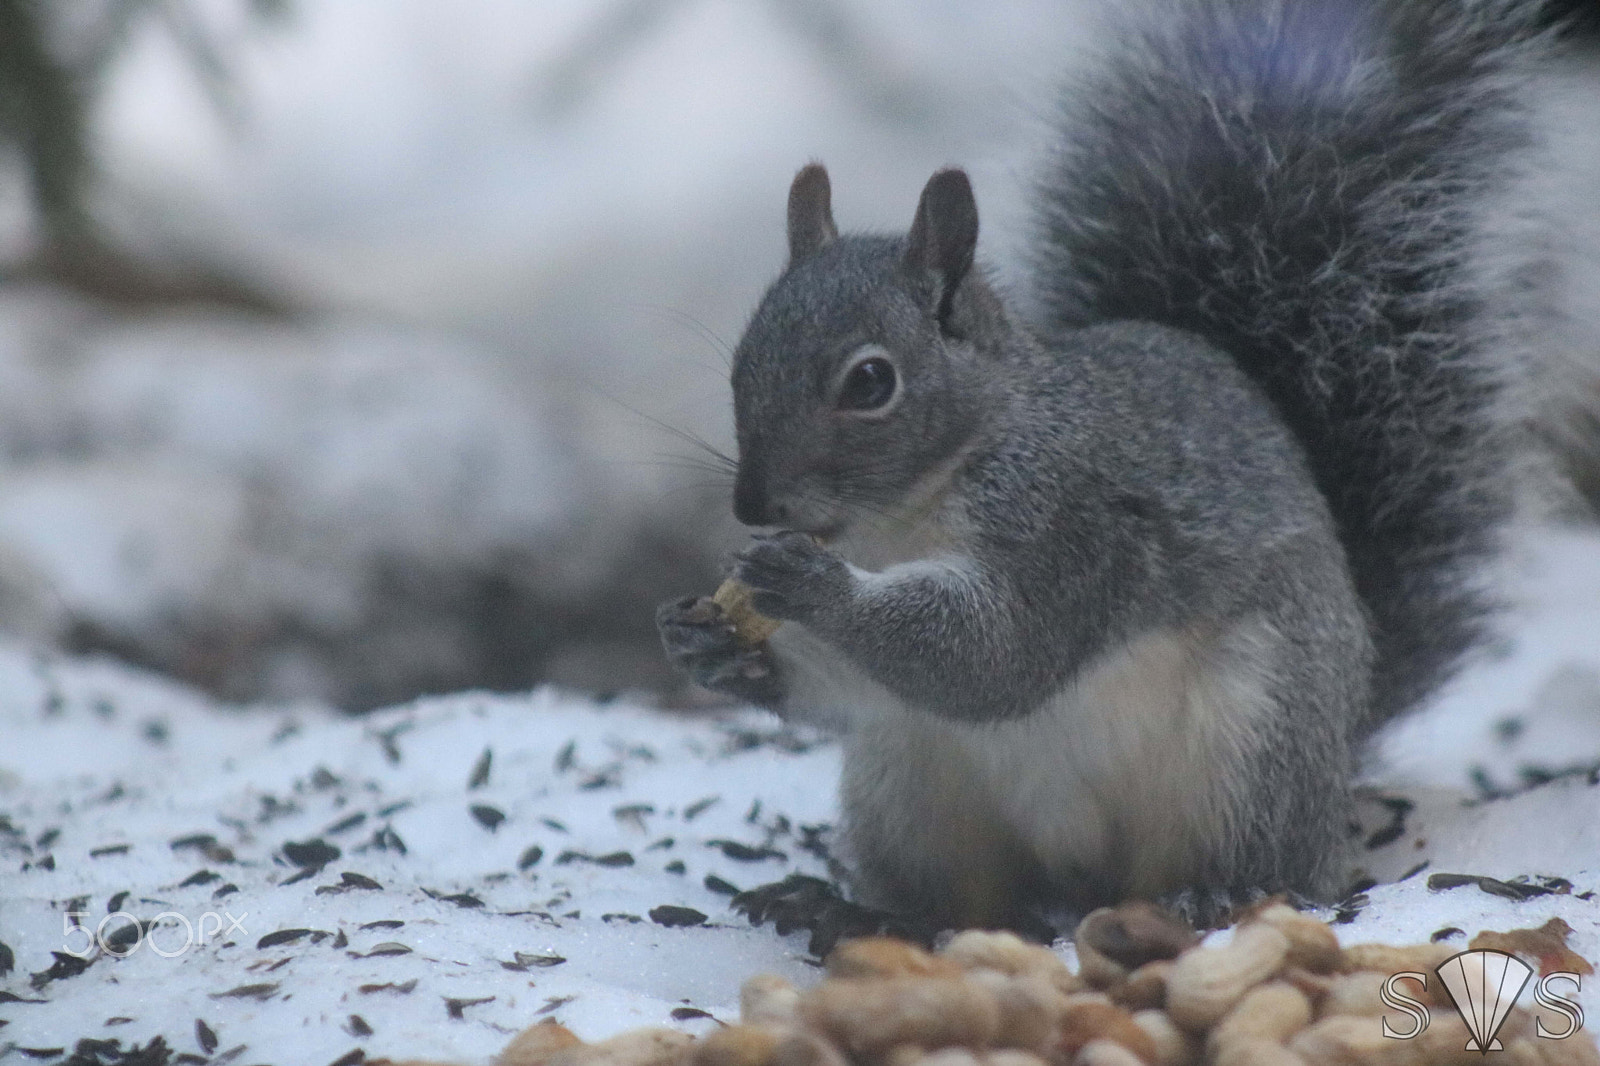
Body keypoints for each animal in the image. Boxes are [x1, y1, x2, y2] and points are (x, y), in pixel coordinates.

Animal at [656, 0, 1542, 928]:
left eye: (870, 382)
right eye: (741, 363)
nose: (754, 506)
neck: (900, 519)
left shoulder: (1070, 524)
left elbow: (996, 655)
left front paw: (812, 588)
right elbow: (861, 687)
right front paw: (708, 643)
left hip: (1253, 740)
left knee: (1266, 857)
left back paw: (1221, 891)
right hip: (907, 782)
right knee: (958, 893)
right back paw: (864, 913)